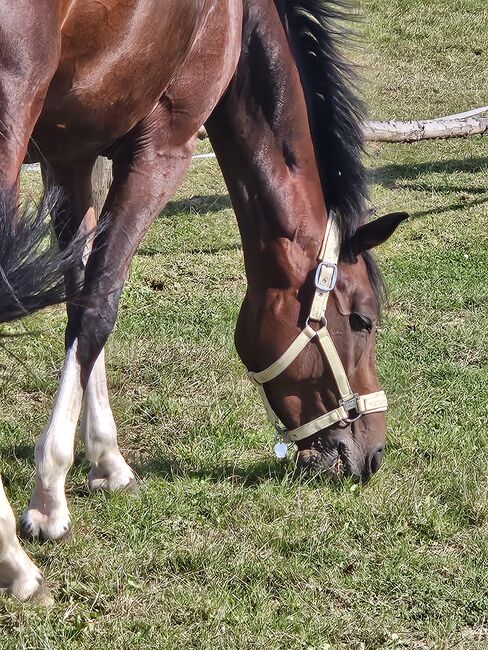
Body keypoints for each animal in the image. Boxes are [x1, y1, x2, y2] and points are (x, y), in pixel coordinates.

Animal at [0, 1, 406, 604]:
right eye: (362, 320)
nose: (373, 455)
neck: (236, 18)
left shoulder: (69, 155)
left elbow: (79, 301)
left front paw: (107, 460)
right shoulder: (164, 146)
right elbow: (98, 307)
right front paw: (49, 497)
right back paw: (15, 562)